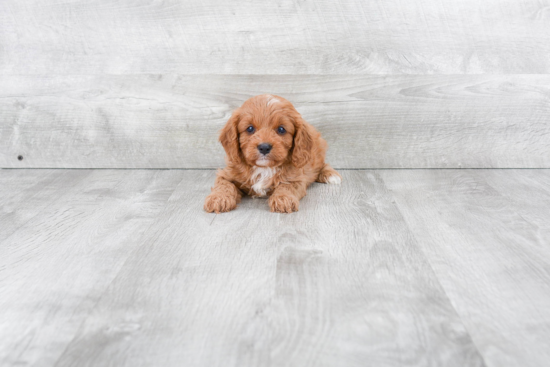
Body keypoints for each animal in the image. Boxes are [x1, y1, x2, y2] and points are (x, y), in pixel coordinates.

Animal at [205, 95, 342, 214]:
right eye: (250, 128)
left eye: (281, 129)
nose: (264, 147)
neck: (264, 168)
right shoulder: (227, 174)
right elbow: (224, 185)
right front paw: (218, 198)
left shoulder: (296, 178)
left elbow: (287, 186)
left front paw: (283, 199)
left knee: (322, 164)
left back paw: (330, 174)